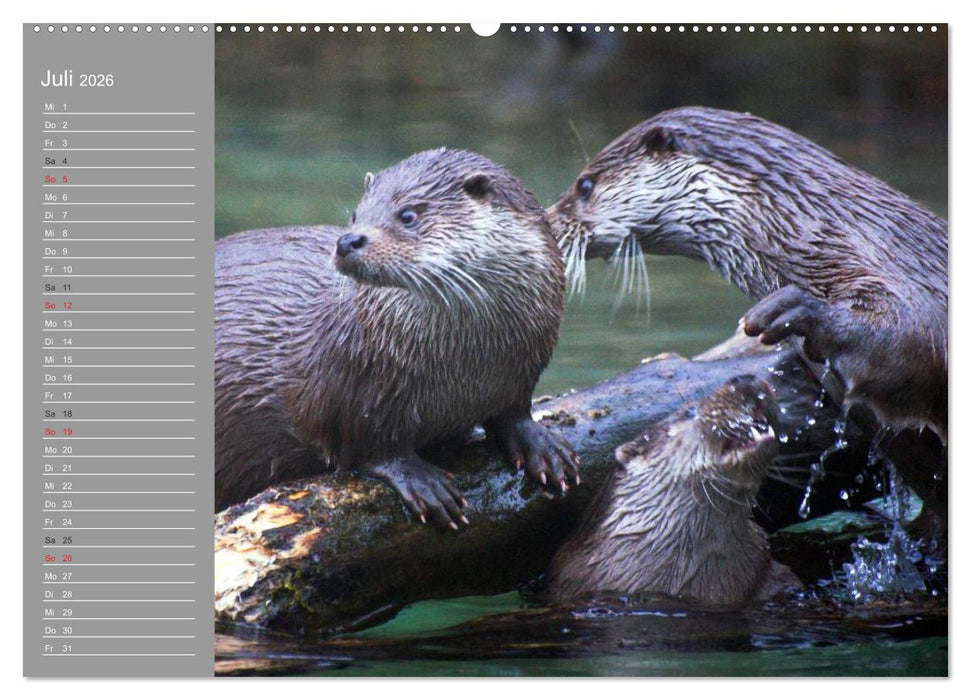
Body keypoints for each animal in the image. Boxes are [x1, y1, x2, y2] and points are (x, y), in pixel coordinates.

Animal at [215, 149, 579, 528]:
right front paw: (421, 481)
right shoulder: (359, 388)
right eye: (356, 215)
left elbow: (515, 412)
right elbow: (372, 448)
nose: (347, 241)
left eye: (407, 215)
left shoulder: (524, 370)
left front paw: (541, 445)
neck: (467, 366)